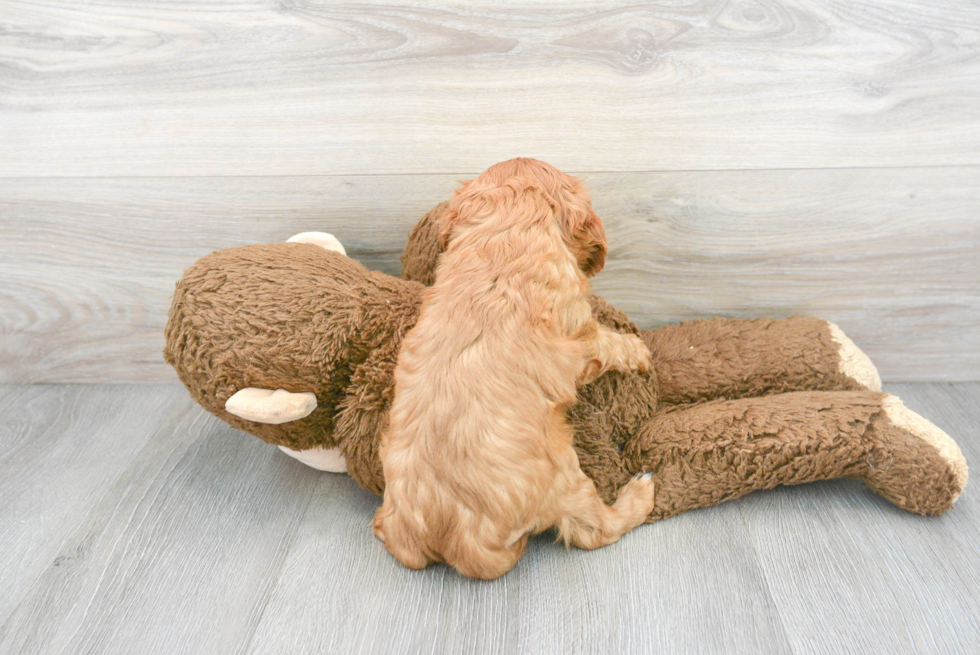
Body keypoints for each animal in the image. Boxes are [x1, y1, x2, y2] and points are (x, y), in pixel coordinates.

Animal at [372, 158, 656, 580]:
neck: (504, 238)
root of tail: (454, 541)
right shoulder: (580, 330)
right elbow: (607, 343)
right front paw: (638, 350)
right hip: (566, 478)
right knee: (595, 530)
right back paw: (641, 492)